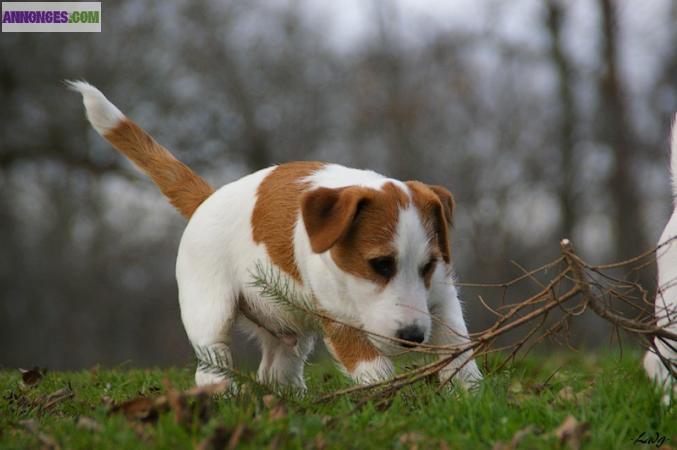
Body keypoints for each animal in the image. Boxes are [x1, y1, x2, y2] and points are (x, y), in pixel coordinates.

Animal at [68, 81, 480, 390]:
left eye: (428, 266)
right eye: (379, 265)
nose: (413, 336)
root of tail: (207, 199)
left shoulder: (441, 299)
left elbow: (460, 351)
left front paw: (468, 396)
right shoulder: (339, 321)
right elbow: (374, 369)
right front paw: (389, 398)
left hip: (287, 328)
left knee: (276, 369)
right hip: (209, 311)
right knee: (211, 364)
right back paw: (224, 396)